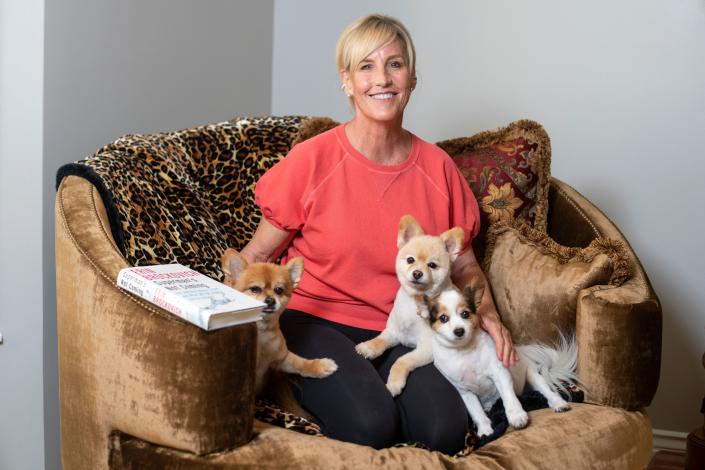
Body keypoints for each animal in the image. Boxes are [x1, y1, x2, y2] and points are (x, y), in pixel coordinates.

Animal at [354, 217, 464, 396]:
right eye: (410, 260)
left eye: (432, 265)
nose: (417, 273)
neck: (414, 302)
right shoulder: (393, 332)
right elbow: (380, 340)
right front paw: (368, 347)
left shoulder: (426, 348)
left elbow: (402, 360)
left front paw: (394, 383)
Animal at [424, 280, 576, 436]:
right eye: (443, 318)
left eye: (465, 314)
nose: (459, 331)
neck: (464, 351)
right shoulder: (466, 392)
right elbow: (477, 413)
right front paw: (485, 430)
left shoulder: (500, 374)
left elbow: (509, 398)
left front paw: (516, 416)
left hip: (533, 376)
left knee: (547, 391)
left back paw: (558, 403)